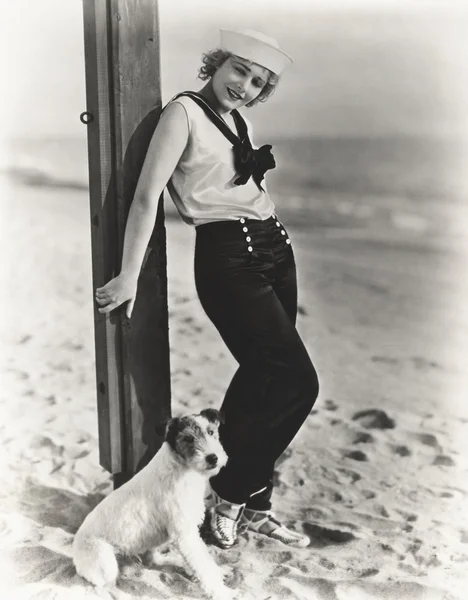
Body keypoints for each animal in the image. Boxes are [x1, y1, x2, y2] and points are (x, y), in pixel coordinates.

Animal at [72, 408, 231, 600]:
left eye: (211, 432)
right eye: (188, 438)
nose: (213, 458)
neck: (181, 466)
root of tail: (74, 552)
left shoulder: (187, 532)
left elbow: (202, 562)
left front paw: (218, 573)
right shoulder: (185, 534)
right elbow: (203, 565)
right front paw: (222, 592)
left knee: (152, 561)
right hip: (104, 559)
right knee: (104, 588)